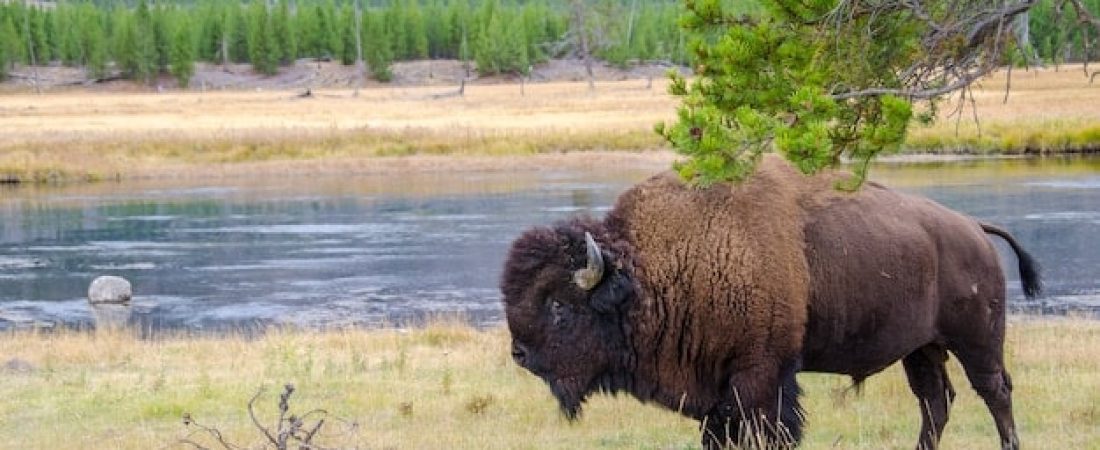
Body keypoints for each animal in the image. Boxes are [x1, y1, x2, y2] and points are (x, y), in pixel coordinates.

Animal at [503, 155, 1034, 448]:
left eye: (559, 306)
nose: (520, 354)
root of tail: (973, 228)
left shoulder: (760, 374)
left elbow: (770, 430)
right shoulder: (715, 387)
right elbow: (718, 435)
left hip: (977, 340)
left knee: (995, 391)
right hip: (921, 349)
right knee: (935, 401)